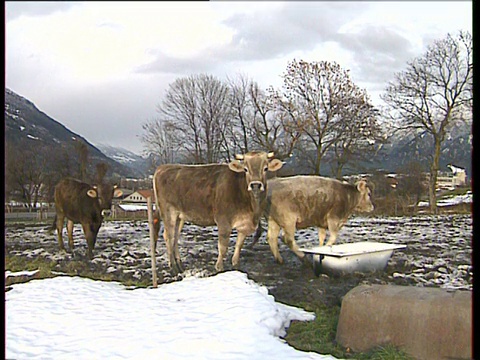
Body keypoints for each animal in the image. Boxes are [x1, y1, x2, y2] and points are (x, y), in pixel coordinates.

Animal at [152, 150, 284, 274]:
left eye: (265, 168)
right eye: (245, 169)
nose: (255, 185)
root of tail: (163, 167)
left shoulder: (243, 225)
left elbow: (239, 245)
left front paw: (236, 265)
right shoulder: (223, 222)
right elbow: (223, 247)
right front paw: (219, 268)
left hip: (180, 216)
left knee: (174, 236)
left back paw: (179, 263)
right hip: (168, 213)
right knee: (169, 236)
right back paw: (173, 266)